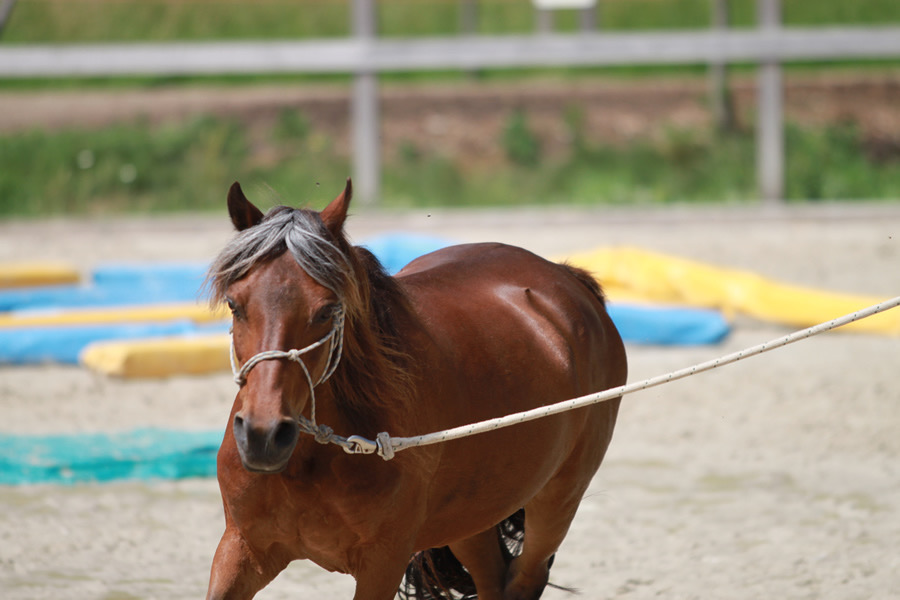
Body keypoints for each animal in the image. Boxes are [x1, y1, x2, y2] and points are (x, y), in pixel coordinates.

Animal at [204, 179, 627, 600]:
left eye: (326, 310)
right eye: (234, 304)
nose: (263, 436)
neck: (313, 459)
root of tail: (566, 278)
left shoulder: (382, 563)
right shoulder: (242, 548)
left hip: (556, 500)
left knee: (526, 576)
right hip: (470, 515)